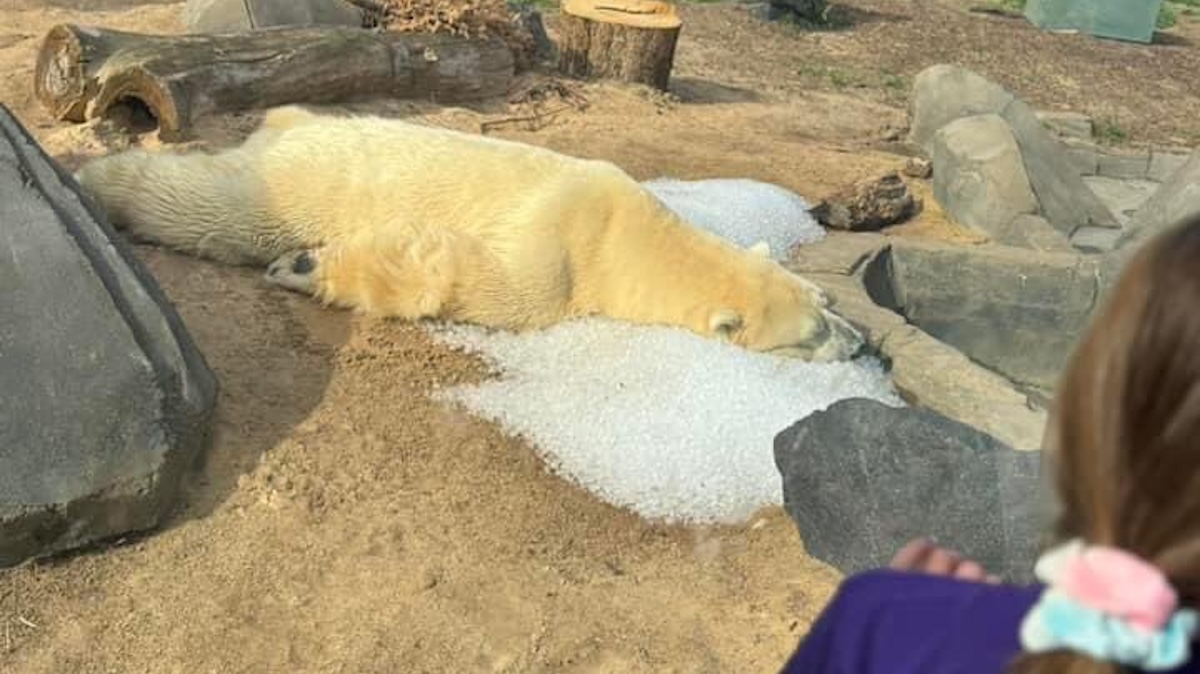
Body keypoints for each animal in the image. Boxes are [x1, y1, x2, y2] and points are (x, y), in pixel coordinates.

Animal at [74, 105, 866, 362]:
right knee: (215, 207)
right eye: (811, 334)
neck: (636, 233)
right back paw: (100, 182)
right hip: (296, 180)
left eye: (827, 306)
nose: (861, 345)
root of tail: (289, 123)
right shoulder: (562, 248)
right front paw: (308, 266)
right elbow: (483, 282)